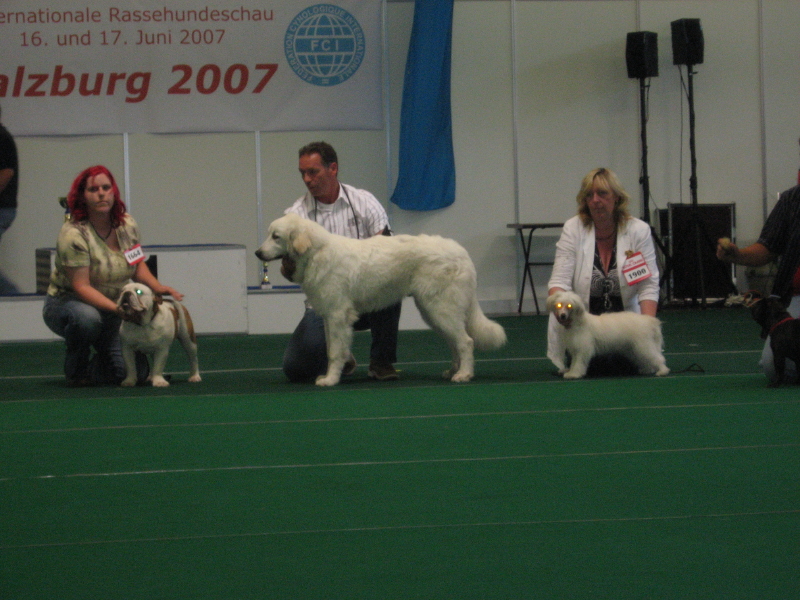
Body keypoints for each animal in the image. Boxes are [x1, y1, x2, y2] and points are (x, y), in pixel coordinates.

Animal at [256, 213, 506, 386]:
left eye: (276, 236)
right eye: (268, 234)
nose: (258, 253)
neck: (317, 252)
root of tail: (462, 253)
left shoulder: (337, 314)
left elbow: (335, 352)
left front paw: (330, 380)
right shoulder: (329, 316)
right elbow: (331, 349)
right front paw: (332, 374)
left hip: (440, 308)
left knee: (466, 342)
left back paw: (464, 374)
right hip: (434, 312)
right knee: (455, 343)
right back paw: (453, 371)